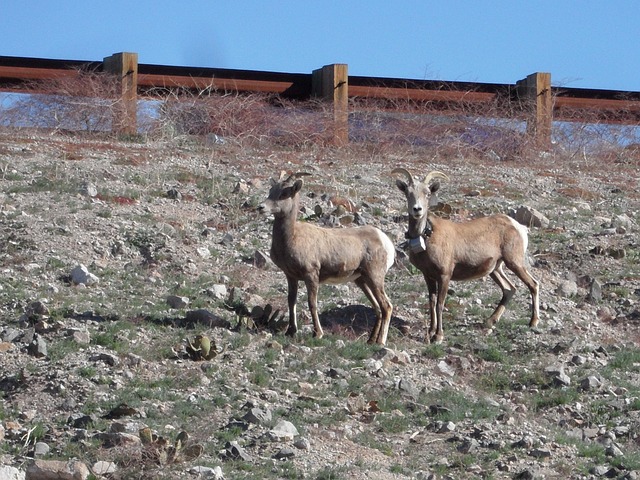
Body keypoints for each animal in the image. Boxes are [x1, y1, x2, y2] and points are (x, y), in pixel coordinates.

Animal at [258, 172, 396, 344]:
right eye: (271, 191)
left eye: (284, 193)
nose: (261, 207)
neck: (292, 237)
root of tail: (385, 241)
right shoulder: (291, 276)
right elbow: (291, 301)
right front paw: (290, 331)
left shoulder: (311, 275)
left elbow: (312, 303)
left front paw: (318, 333)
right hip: (362, 280)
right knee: (377, 308)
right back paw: (370, 341)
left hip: (374, 277)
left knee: (386, 306)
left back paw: (380, 342)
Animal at [392, 167, 536, 344]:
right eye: (408, 192)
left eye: (427, 193)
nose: (417, 209)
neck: (426, 236)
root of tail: (518, 227)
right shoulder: (428, 276)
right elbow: (431, 302)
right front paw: (431, 332)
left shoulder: (445, 275)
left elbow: (440, 304)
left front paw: (438, 336)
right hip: (496, 269)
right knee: (510, 289)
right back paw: (489, 322)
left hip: (514, 263)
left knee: (533, 284)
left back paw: (533, 323)